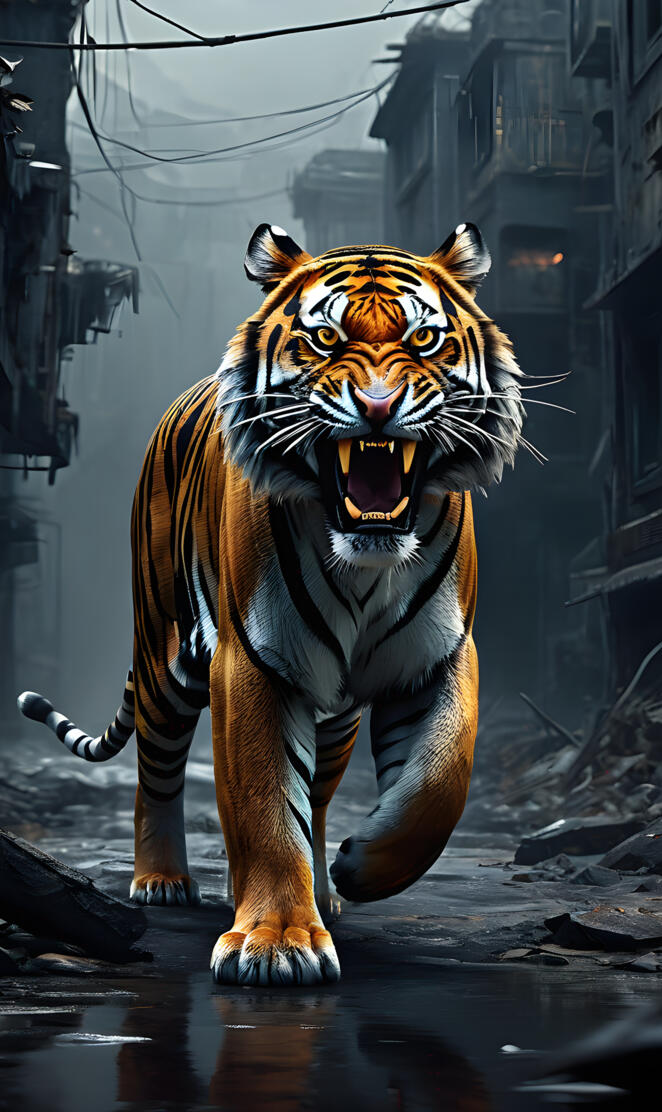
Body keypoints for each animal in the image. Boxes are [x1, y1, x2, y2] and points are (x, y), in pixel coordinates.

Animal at [18, 221, 524, 986]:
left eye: (424, 339)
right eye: (324, 339)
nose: (379, 407)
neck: (366, 562)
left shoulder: (437, 659)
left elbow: (438, 783)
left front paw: (360, 867)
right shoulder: (253, 664)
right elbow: (262, 803)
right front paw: (279, 941)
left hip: (338, 713)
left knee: (317, 794)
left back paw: (324, 885)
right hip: (165, 660)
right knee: (158, 776)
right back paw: (162, 881)